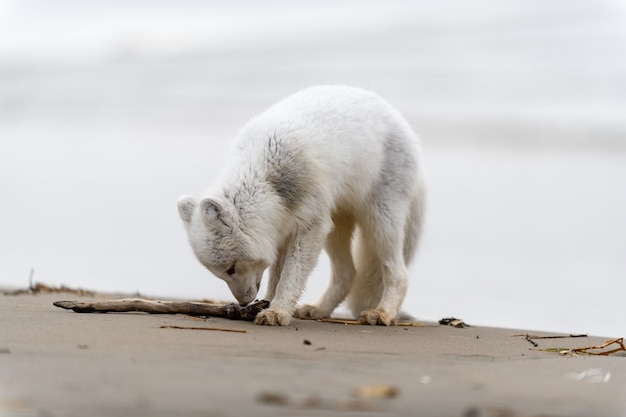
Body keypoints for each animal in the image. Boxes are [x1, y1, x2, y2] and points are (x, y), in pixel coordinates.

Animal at [176, 84, 424, 324]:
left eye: (231, 268)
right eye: (222, 272)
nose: (244, 302)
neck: (265, 177)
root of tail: (402, 121)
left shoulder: (309, 226)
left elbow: (290, 277)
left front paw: (277, 312)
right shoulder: (281, 230)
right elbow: (276, 276)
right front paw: (266, 304)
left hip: (379, 221)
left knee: (398, 273)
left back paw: (383, 314)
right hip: (335, 229)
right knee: (347, 274)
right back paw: (318, 310)